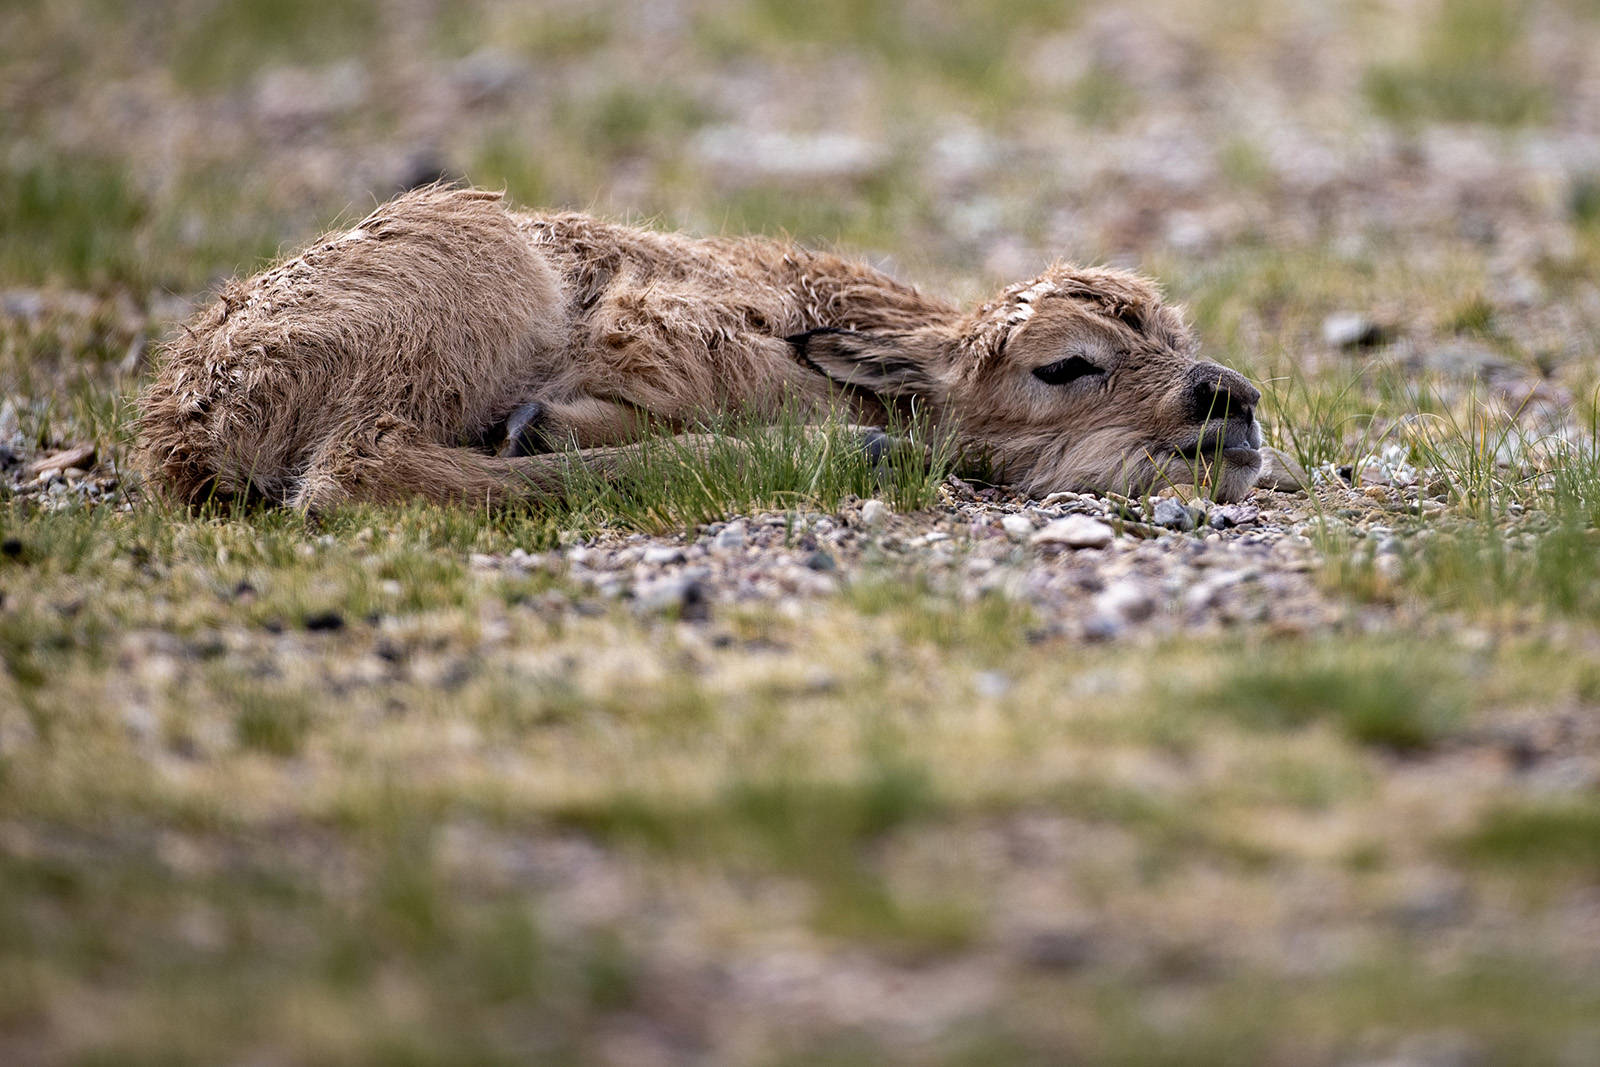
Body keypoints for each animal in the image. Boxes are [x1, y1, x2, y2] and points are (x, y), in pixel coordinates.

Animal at [137, 183, 1260, 508]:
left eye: (1178, 335)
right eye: (1064, 364)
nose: (1232, 399)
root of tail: (188, 421)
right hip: (477, 288)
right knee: (355, 470)